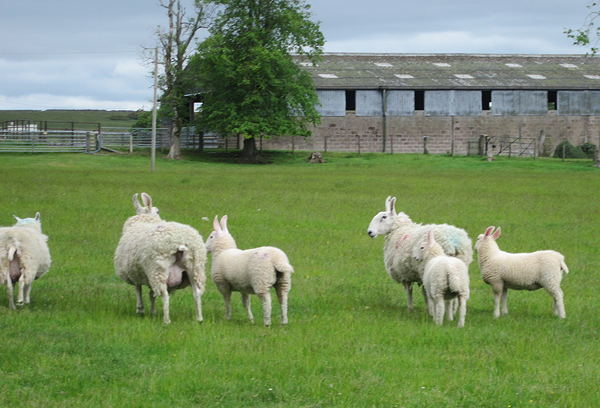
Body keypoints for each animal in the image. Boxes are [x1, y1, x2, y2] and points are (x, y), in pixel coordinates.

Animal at [115, 193, 209, 324]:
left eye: (157, 211)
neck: (145, 219)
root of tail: (179, 241)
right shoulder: (145, 275)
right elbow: (151, 294)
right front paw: (152, 312)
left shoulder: (134, 273)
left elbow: (139, 290)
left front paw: (140, 309)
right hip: (195, 267)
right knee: (197, 293)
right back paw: (199, 319)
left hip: (158, 269)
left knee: (165, 295)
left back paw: (166, 320)